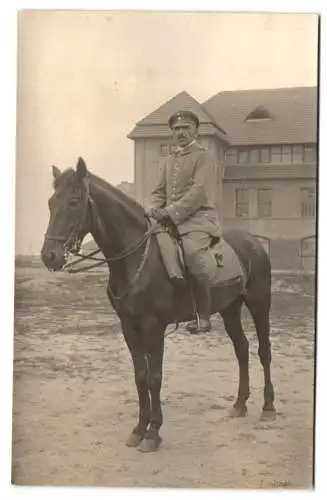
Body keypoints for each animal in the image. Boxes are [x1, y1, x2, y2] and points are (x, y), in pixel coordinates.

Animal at [41, 157, 276, 454]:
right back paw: (239, 404)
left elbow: (154, 377)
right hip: (230, 309)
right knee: (242, 349)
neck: (136, 258)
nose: (49, 256)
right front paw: (139, 428)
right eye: (51, 202)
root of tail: (254, 242)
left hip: (259, 304)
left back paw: (268, 407)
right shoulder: (129, 327)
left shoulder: (154, 327)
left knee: (263, 351)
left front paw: (153, 433)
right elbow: (140, 376)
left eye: (74, 201)